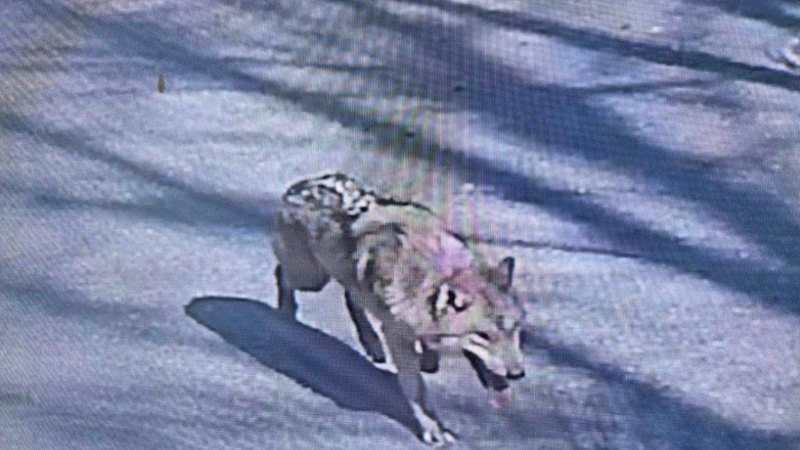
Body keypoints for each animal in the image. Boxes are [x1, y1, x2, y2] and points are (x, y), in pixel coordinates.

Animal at [271, 173, 526, 445]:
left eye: (514, 330)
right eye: (484, 336)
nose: (517, 374)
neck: (433, 277)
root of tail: (301, 185)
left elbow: (428, 356)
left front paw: (428, 358)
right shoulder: (397, 336)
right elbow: (416, 390)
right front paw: (433, 428)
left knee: (352, 296)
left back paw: (372, 344)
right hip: (310, 279)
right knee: (282, 273)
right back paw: (286, 313)